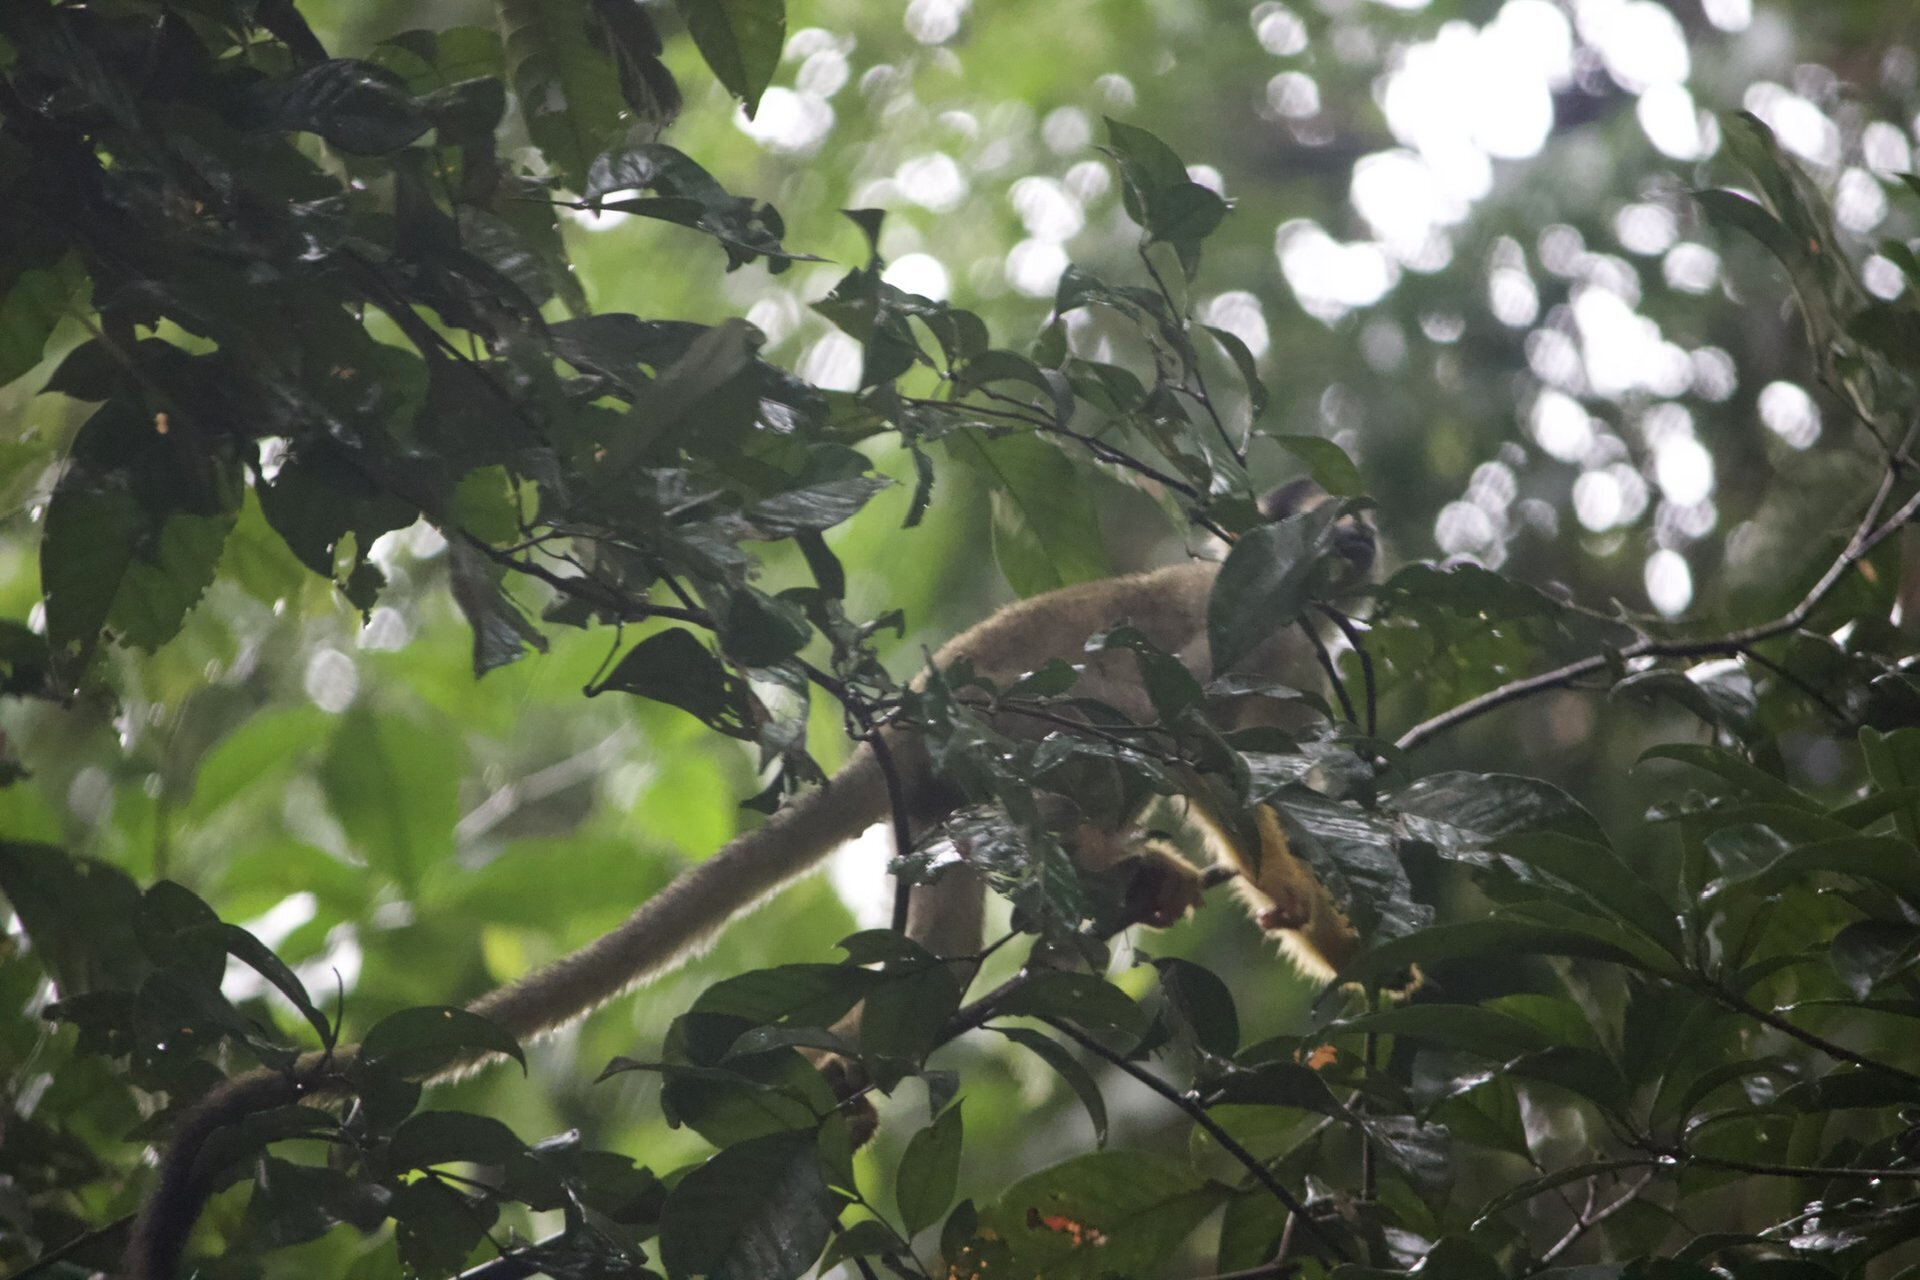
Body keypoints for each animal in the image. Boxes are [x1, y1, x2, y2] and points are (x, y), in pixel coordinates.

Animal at [124, 485, 1373, 1280]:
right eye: (1329, 525)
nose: (1356, 546)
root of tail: (904, 724)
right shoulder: (1253, 624)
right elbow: (1199, 732)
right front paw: (1310, 916)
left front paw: (1329, 935)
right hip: (993, 740)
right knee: (1106, 711)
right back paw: (1096, 874)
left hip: (943, 812)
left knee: (944, 944)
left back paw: (866, 1051)